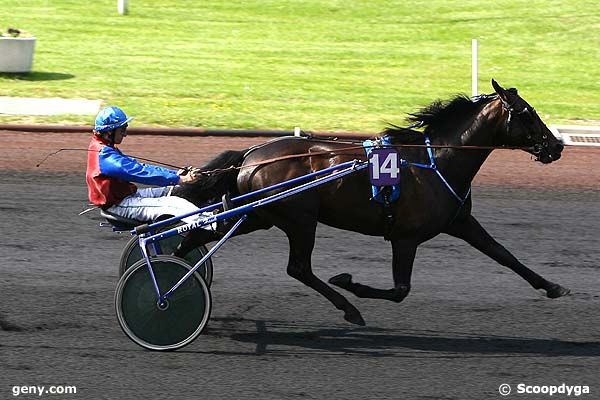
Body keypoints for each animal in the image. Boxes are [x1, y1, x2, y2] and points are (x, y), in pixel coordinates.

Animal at [172, 79, 568, 326]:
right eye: (528, 113)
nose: (557, 146)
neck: (437, 160)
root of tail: (251, 154)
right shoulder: (405, 237)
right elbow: (400, 291)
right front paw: (350, 283)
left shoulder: (460, 222)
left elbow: (504, 254)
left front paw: (553, 287)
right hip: (299, 219)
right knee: (298, 268)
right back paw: (348, 307)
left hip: (260, 215)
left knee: (198, 237)